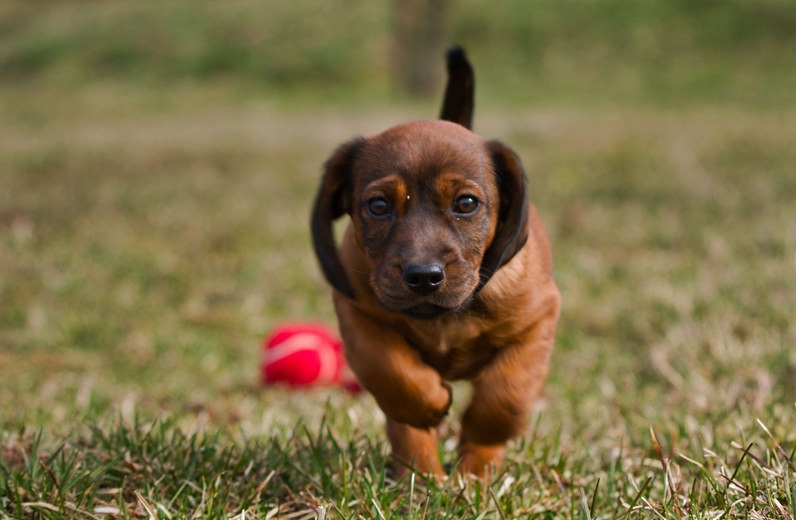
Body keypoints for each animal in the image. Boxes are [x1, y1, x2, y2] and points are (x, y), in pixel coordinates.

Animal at [310, 48, 560, 480]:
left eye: (466, 203)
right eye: (378, 206)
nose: (424, 277)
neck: (446, 318)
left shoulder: (538, 320)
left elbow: (507, 394)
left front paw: (478, 449)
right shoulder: (358, 314)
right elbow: (391, 372)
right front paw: (428, 405)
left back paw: (474, 478)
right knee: (404, 429)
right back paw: (421, 476)